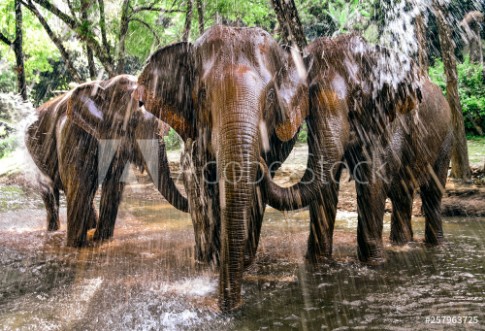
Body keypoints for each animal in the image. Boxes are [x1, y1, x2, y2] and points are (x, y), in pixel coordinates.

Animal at [24, 74, 188, 248]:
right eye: (131, 123)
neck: (106, 85)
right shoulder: (74, 132)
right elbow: (80, 182)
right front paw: (77, 247)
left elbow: (113, 184)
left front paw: (101, 240)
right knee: (52, 190)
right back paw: (54, 232)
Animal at [132, 25, 306, 312]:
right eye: (202, 94)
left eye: (271, 96)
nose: (227, 308)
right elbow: (207, 189)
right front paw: (214, 262)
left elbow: (254, 196)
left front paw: (242, 260)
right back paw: (203, 259)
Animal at [260, 35, 450, 264]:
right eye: (310, 96)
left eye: (357, 95)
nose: (260, 163)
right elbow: (326, 182)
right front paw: (318, 262)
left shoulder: (389, 119)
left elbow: (373, 178)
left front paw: (374, 262)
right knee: (402, 195)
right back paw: (402, 244)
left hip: (447, 137)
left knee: (432, 193)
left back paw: (434, 245)